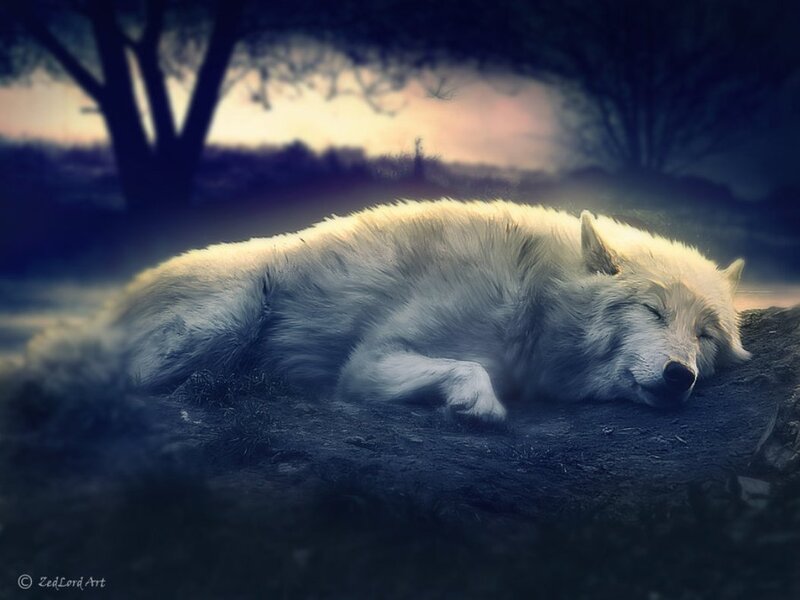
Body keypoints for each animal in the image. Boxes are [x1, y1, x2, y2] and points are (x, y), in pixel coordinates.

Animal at [25, 200, 750, 421]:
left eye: (706, 336)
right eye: (651, 311)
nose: (680, 376)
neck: (535, 296)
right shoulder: (371, 361)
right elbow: (468, 368)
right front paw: (478, 405)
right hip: (230, 313)